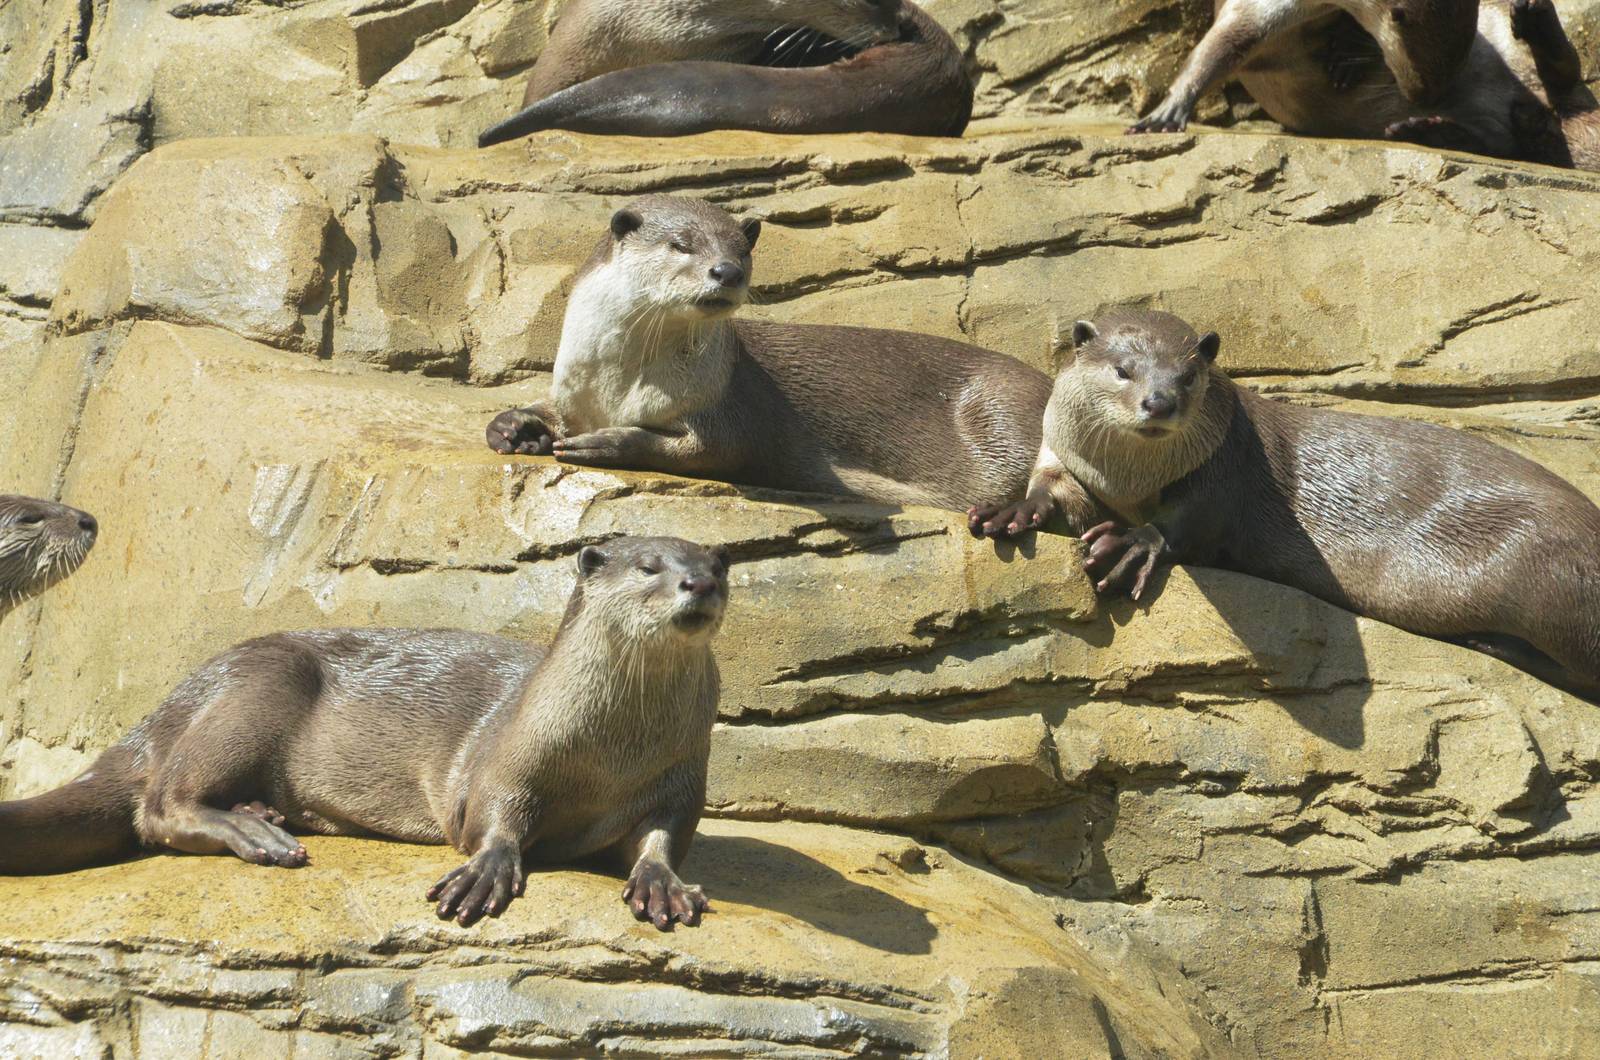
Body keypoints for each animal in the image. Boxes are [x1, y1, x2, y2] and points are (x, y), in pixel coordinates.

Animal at [0, 536, 730, 930]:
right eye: (648, 567)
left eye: (720, 567)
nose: (698, 582)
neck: (609, 755)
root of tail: (171, 703)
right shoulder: (507, 760)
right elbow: (493, 819)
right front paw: (485, 871)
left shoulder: (680, 779)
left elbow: (665, 835)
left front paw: (661, 881)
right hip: (258, 687)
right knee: (157, 807)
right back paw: (258, 834)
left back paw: (263, 813)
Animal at [484, 196, 1052, 513]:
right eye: (681, 244)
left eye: (743, 249)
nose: (727, 271)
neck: (617, 382)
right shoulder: (574, 392)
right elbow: (546, 411)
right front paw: (514, 426)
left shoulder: (727, 401)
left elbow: (715, 450)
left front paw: (607, 443)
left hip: (1004, 406)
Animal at [968, 309, 1600, 702]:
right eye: (1122, 370)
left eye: (1189, 376)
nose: (1160, 401)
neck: (1126, 480)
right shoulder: (1060, 449)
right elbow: (1047, 488)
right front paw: (1008, 511)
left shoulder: (1223, 466)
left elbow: (1187, 524)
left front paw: (1130, 545)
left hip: (1545, 576)